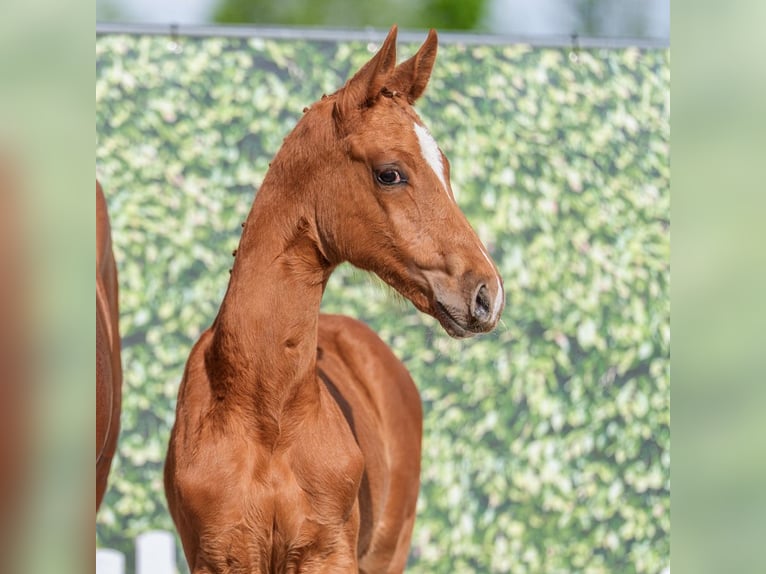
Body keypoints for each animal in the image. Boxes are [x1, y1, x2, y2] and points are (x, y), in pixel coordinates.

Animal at [164, 26, 504, 573]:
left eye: (446, 167)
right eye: (390, 173)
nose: (486, 293)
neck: (265, 416)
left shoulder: (327, 554)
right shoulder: (221, 557)